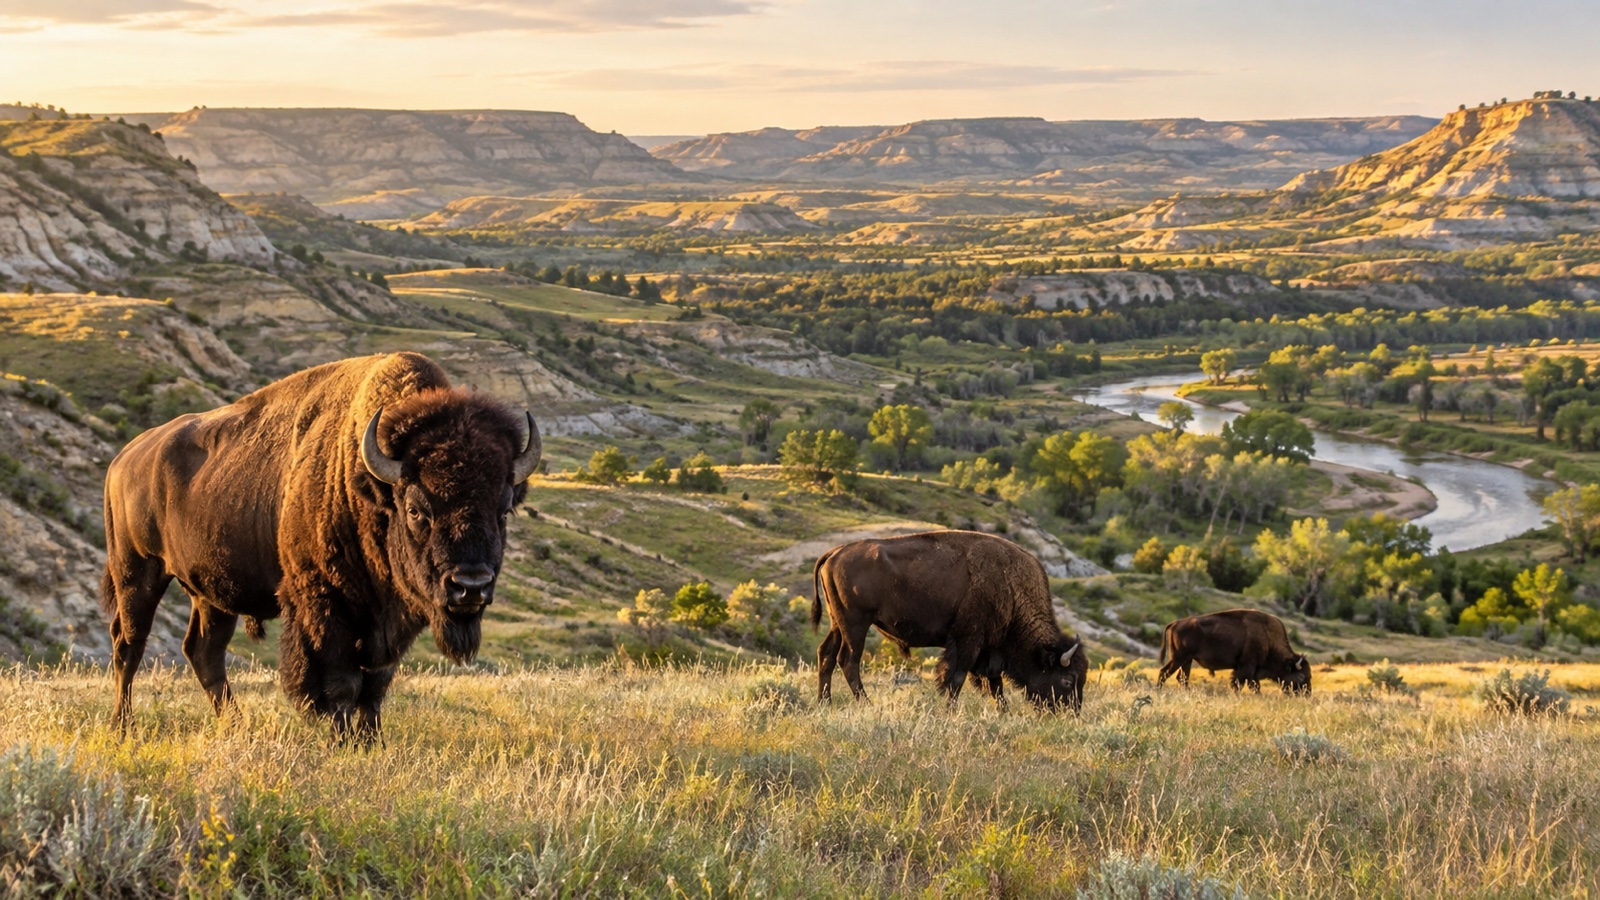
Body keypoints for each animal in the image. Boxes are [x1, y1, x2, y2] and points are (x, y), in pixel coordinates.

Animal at [101, 352, 540, 743]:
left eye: (503, 510)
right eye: (416, 509)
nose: (471, 586)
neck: (366, 486)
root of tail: (124, 458)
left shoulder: (387, 621)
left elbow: (375, 684)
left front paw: (372, 743)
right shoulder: (326, 606)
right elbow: (341, 682)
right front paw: (341, 742)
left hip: (212, 594)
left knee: (204, 652)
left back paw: (237, 727)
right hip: (138, 572)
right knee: (128, 645)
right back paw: (123, 728)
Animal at [811, 530, 1086, 710]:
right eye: (1067, 679)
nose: (1072, 712)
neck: (1011, 586)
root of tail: (836, 552)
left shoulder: (989, 648)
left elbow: (994, 684)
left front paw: (1003, 711)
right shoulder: (968, 640)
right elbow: (957, 677)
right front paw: (950, 709)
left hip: (838, 624)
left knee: (826, 654)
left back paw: (825, 702)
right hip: (856, 623)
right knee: (848, 660)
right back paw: (865, 703)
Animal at [1157, 608, 1311, 695]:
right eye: (1302, 676)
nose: (1307, 694)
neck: (1268, 636)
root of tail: (1175, 623)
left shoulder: (1252, 669)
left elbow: (1253, 685)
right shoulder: (1247, 666)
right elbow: (1240, 683)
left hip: (1187, 660)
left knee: (1182, 677)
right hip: (1179, 658)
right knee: (1165, 672)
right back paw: (1158, 690)